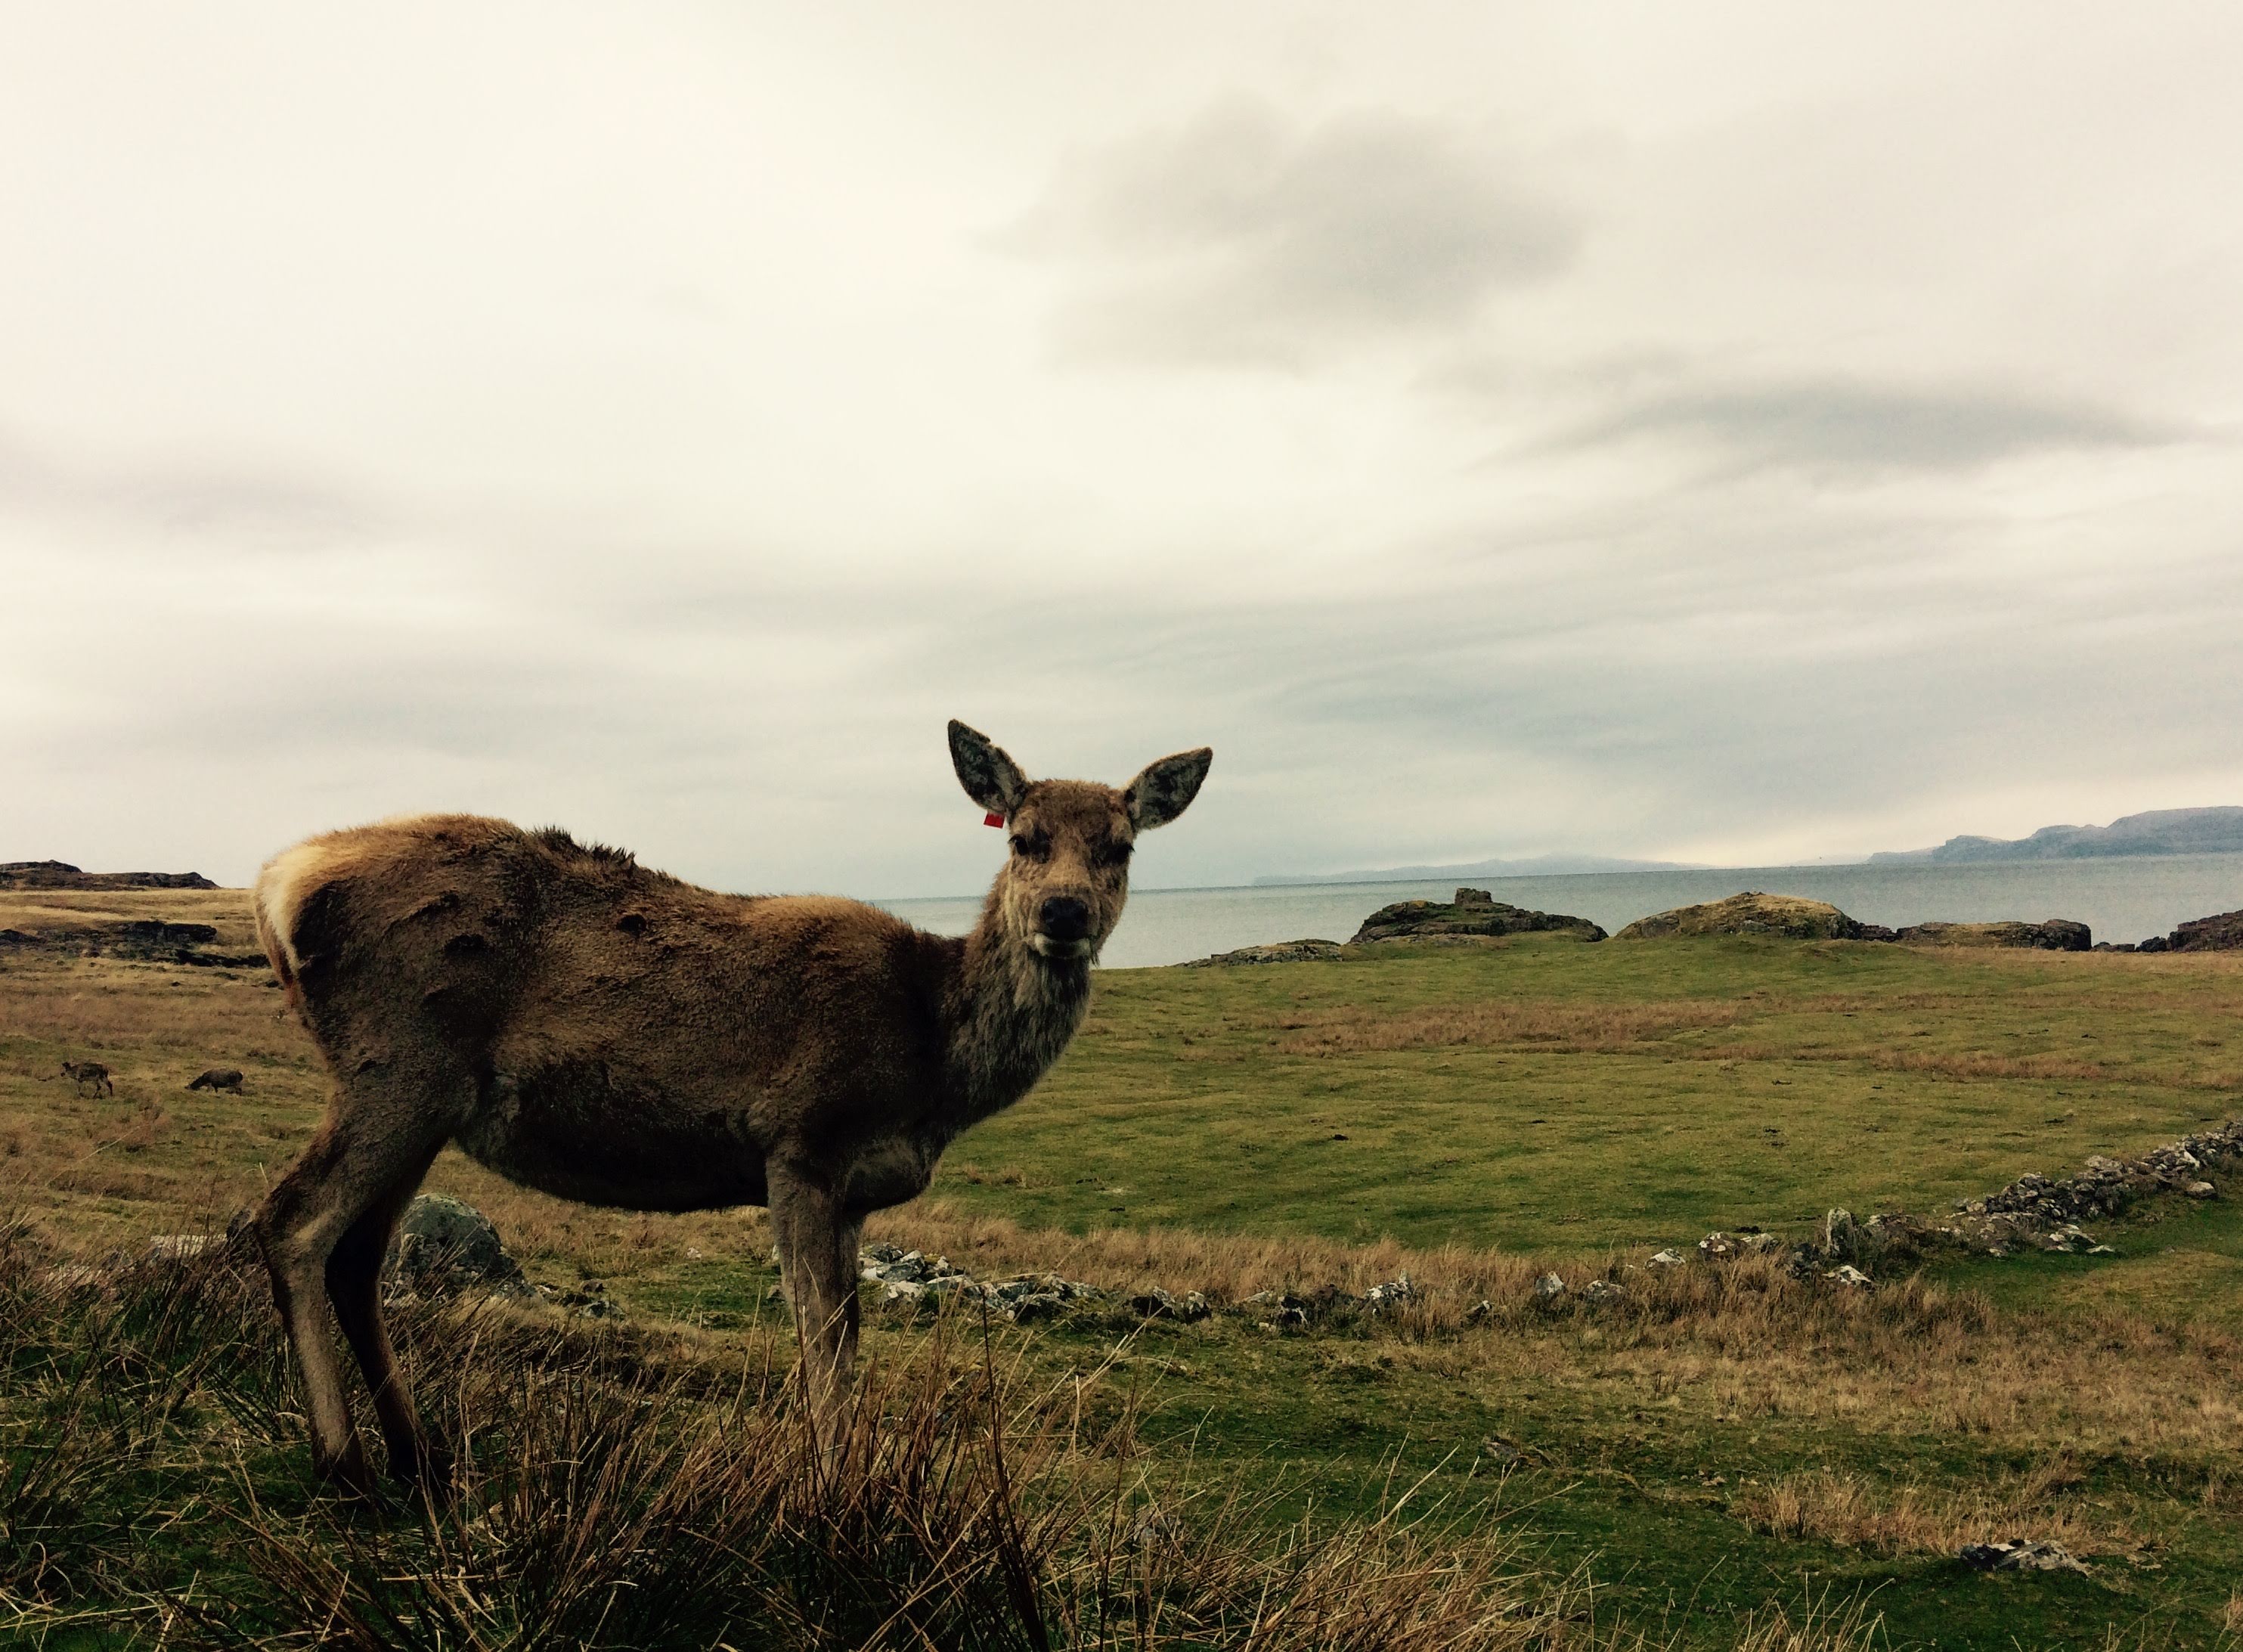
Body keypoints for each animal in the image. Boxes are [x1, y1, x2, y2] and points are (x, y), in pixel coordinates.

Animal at [244, 720, 1211, 1495]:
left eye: (1121, 846)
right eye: (1024, 836)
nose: (1065, 911)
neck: (931, 1056)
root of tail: (276, 885)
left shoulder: (855, 1193)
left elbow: (848, 1336)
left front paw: (846, 1477)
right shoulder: (802, 1139)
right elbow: (819, 1336)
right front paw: (830, 1493)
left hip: (425, 1101)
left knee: (356, 1255)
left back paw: (419, 1456)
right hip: (398, 1065)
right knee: (292, 1219)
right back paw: (345, 1464)